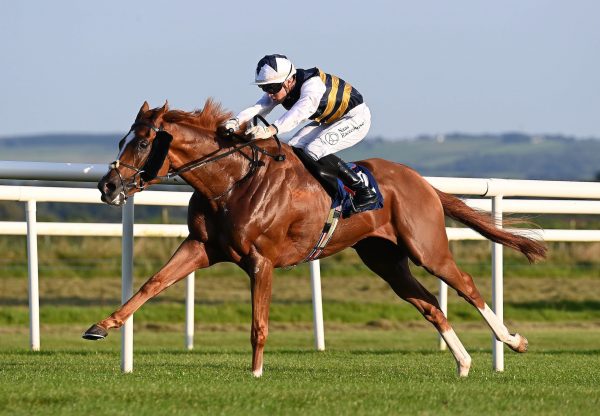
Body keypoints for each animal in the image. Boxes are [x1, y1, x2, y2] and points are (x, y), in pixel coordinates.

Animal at [82, 100, 548, 376]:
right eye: (122, 139)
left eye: (143, 143)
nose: (108, 186)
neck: (231, 181)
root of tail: (423, 183)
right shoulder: (201, 247)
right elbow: (152, 284)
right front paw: (102, 326)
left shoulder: (261, 261)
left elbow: (259, 323)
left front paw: (255, 372)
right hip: (384, 259)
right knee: (429, 303)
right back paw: (464, 362)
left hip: (426, 247)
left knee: (465, 284)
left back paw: (512, 341)